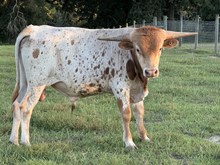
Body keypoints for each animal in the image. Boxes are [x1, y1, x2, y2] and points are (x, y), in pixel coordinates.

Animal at [9, 24, 197, 148]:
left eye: (160, 49)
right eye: (137, 49)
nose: (150, 71)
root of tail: (33, 29)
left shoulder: (136, 91)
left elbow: (140, 114)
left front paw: (144, 137)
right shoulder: (120, 88)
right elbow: (127, 114)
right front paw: (129, 142)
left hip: (26, 83)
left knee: (17, 105)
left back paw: (14, 140)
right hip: (37, 84)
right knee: (26, 108)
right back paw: (26, 141)